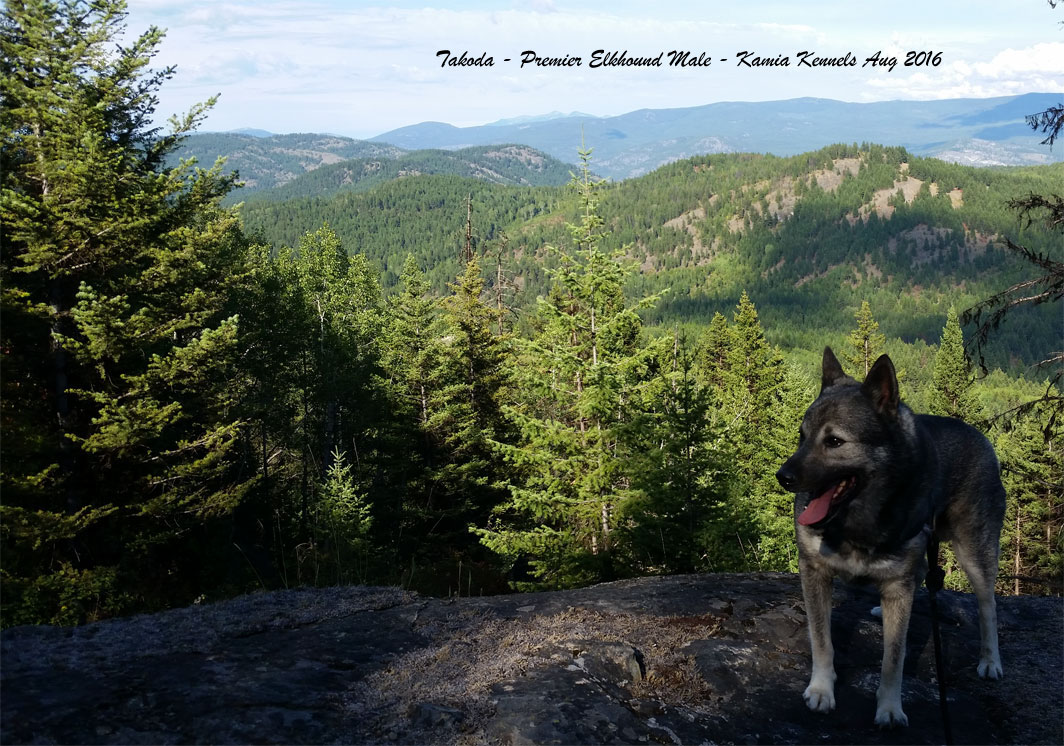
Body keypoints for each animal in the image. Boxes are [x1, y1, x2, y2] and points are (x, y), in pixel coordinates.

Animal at [778, 346, 1000, 727]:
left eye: (834, 441)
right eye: (802, 436)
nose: (783, 476)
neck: (857, 521)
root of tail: (980, 437)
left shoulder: (898, 584)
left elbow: (894, 657)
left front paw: (891, 707)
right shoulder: (814, 572)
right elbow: (821, 640)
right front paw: (821, 689)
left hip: (974, 552)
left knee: (988, 606)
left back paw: (990, 660)